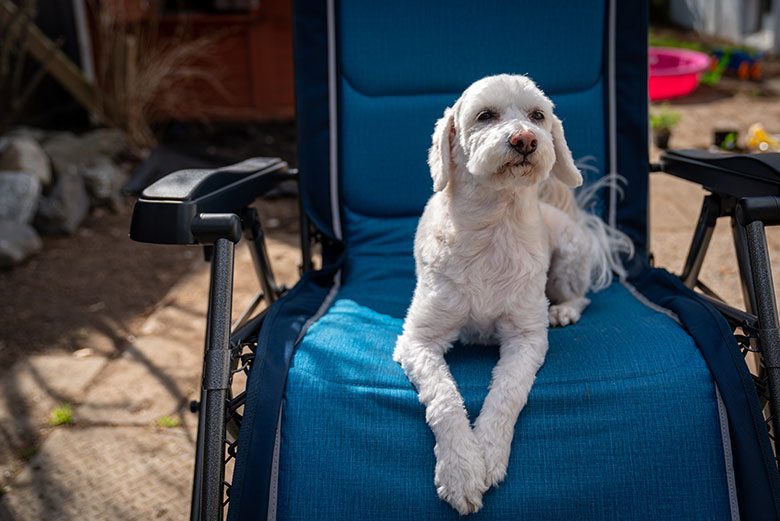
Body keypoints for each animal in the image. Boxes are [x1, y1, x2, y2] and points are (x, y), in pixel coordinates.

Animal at [394, 74, 632, 516]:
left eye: (538, 115)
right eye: (484, 116)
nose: (525, 139)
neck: (493, 228)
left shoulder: (526, 339)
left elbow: (507, 393)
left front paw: (487, 453)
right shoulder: (417, 340)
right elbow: (444, 398)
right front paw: (460, 469)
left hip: (569, 252)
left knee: (582, 295)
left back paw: (564, 310)